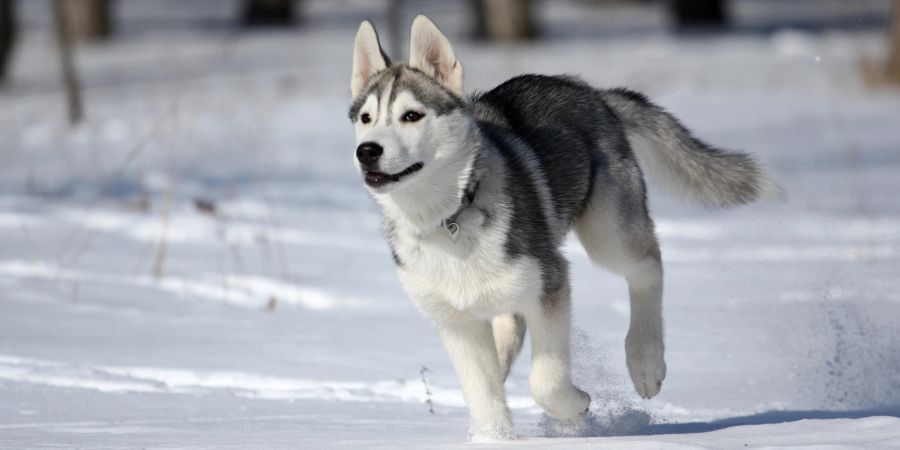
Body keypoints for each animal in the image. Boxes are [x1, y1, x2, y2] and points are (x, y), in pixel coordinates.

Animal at [348, 15, 776, 438]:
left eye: (411, 116)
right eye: (366, 118)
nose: (366, 151)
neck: (449, 216)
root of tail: (588, 91)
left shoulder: (550, 284)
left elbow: (546, 382)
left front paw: (577, 408)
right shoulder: (456, 322)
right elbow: (484, 393)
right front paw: (493, 436)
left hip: (607, 232)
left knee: (648, 265)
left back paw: (645, 361)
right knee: (507, 335)